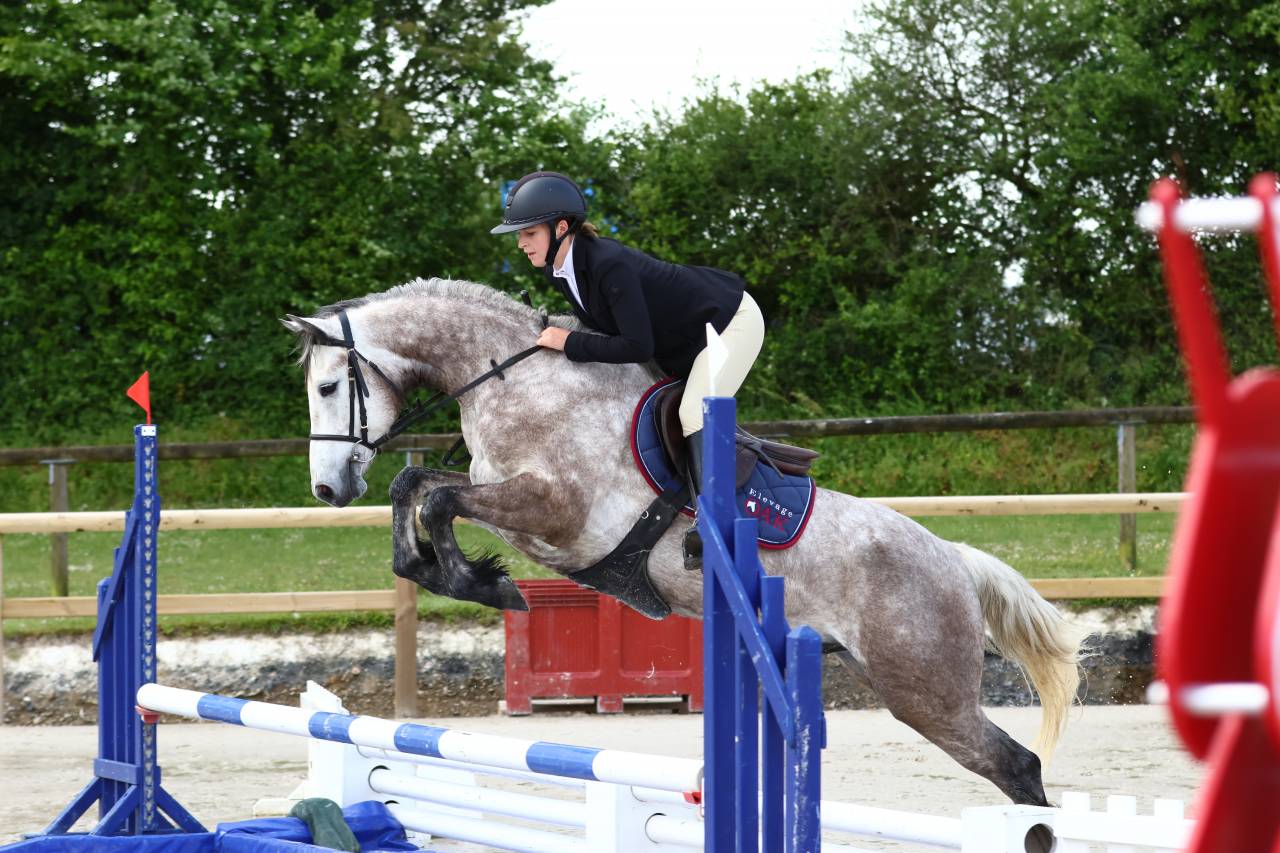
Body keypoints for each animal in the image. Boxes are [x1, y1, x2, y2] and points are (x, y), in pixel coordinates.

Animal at [282, 277, 1085, 807]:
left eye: (327, 389)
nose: (326, 488)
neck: (517, 382)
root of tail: (955, 560)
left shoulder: (554, 510)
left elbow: (440, 498)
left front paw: (482, 581)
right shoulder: (509, 497)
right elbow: (414, 487)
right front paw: (442, 567)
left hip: (925, 688)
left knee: (1017, 766)